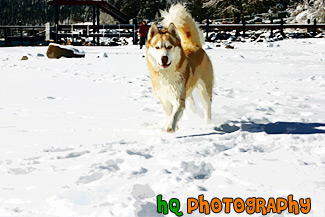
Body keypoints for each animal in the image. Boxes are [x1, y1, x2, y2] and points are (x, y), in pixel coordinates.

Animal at [146, 3, 213, 132]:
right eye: (157, 47)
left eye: (169, 47)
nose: (164, 58)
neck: (167, 74)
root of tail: (194, 44)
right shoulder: (165, 97)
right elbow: (169, 112)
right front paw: (174, 126)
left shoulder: (179, 97)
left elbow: (175, 113)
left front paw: (170, 126)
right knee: (191, 102)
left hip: (204, 88)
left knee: (207, 106)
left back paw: (208, 124)